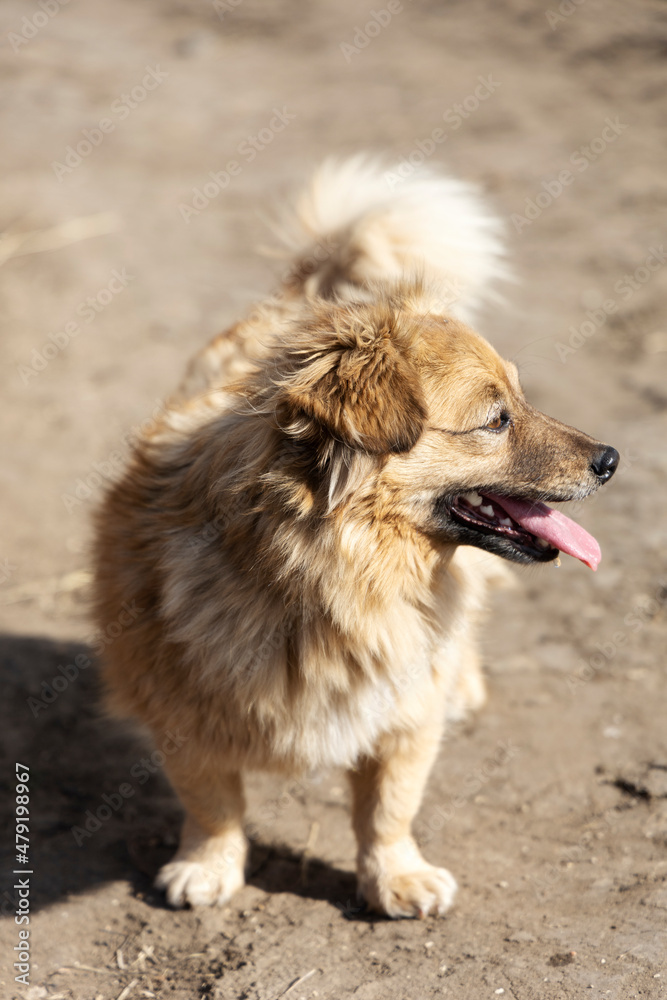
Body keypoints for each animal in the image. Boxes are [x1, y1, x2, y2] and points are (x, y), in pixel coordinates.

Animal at [91, 160, 620, 916]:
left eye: (522, 401)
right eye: (496, 420)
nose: (611, 459)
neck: (325, 572)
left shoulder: (405, 714)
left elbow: (389, 807)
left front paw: (395, 877)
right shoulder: (177, 709)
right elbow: (213, 800)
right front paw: (208, 867)